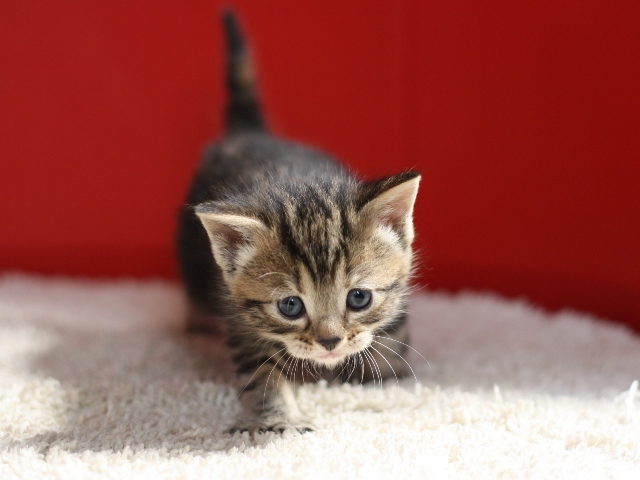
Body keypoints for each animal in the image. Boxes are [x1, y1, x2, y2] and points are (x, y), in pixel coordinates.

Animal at [179, 11, 420, 434]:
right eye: (291, 306)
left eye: (359, 297)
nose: (330, 342)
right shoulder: (244, 320)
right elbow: (263, 369)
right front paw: (280, 417)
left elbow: (391, 331)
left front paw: (383, 374)